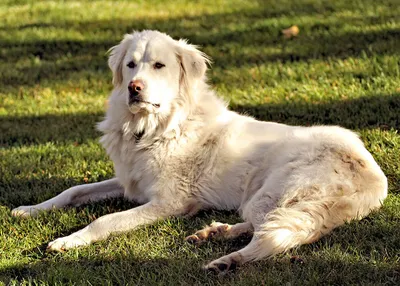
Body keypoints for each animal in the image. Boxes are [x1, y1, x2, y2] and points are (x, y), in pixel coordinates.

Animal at [12, 30, 388, 272]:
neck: (155, 126)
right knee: (263, 226)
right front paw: (29, 210)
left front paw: (67, 241)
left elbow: (104, 220)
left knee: (271, 234)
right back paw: (214, 234)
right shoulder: (131, 181)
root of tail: (373, 175)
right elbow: (73, 190)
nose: (134, 88)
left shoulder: (169, 202)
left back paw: (226, 260)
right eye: (131, 65)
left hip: (275, 192)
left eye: (159, 66)